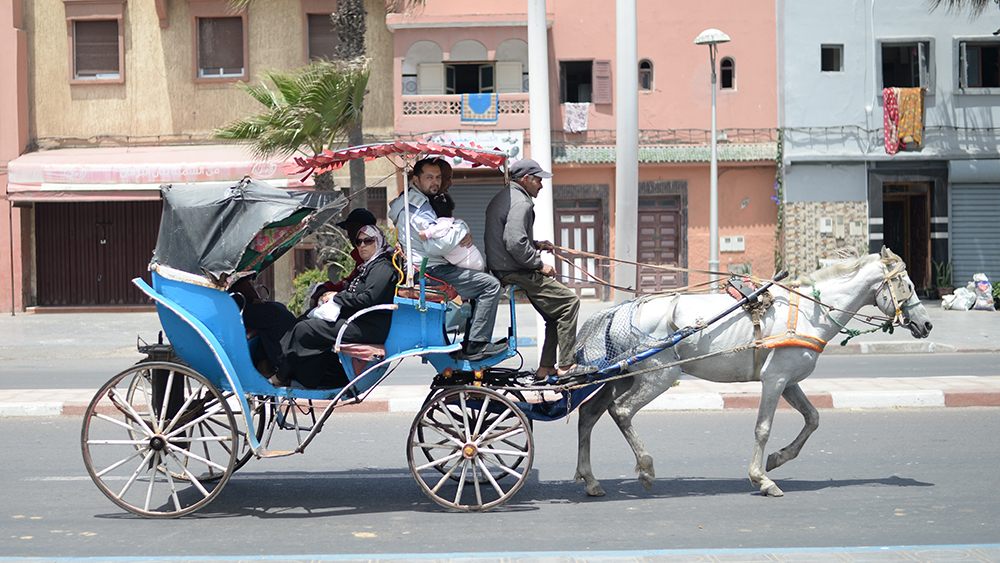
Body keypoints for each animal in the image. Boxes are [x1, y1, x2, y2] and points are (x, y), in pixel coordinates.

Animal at [576, 247, 932, 498]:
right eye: (907, 285)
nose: (926, 324)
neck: (809, 310)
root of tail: (622, 310)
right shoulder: (774, 379)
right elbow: (763, 428)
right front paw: (762, 478)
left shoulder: (789, 379)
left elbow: (813, 418)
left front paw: (777, 458)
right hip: (657, 376)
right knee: (621, 411)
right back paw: (646, 468)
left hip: (621, 378)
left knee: (589, 414)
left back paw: (590, 480)